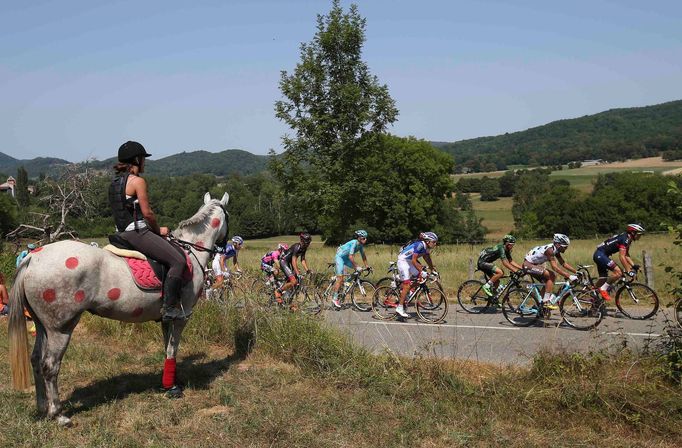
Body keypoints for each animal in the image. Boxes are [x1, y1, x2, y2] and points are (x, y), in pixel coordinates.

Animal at [8, 191, 228, 426]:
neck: (191, 250)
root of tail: (33, 258)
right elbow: (172, 348)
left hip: (42, 326)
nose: (224, 248)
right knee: (50, 366)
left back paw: (42, 407)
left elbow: (168, 349)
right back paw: (58, 414)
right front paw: (172, 388)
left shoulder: (166, 318)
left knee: (35, 360)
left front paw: (169, 382)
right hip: (60, 328)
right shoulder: (182, 316)